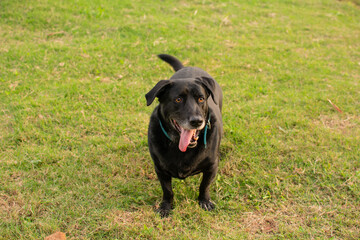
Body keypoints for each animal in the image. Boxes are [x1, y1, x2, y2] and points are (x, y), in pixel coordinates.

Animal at [145, 54, 221, 218]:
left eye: (201, 99)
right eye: (178, 99)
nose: (197, 121)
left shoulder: (212, 166)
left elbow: (204, 185)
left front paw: (204, 201)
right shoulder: (160, 169)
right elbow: (167, 190)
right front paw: (166, 206)